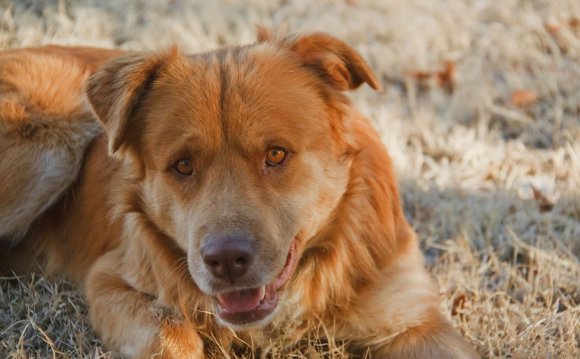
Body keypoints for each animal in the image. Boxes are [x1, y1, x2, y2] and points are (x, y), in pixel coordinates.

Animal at [0, 29, 476, 358]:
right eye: (183, 165)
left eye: (276, 154)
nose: (226, 261)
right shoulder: (109, 280)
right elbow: (172, 333)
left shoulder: (414, 319)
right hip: (48, 149)